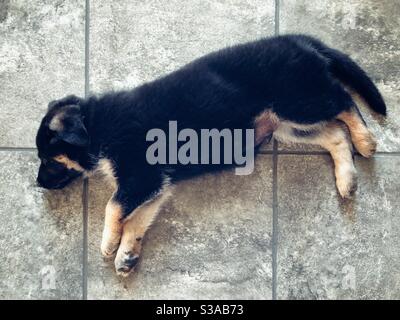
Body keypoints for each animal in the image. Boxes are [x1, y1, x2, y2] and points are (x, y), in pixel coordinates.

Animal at [36, 34, 386, 276]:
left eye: (47, 158)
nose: (38, 184)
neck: (98, 125)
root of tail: (297, 38)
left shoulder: (141, 176)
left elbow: (113, 206)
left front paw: (108, 243)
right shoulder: (156, 184)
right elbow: (137, 218)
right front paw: (127, 253)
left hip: (297, 101)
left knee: (343, 101)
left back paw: (366, 139)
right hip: (287, 125)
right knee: (335, 134)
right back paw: (346, 178)